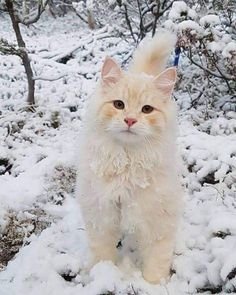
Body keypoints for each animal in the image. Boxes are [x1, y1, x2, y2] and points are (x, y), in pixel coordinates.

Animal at [76, 31, 183, 284]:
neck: (127, 160)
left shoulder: (158, 224)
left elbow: (156, 263)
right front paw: (103, 274)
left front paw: (154, 285)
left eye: (147, 110)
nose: (130, 120)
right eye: (118, 105)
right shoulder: (101, 217)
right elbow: (103, 255)